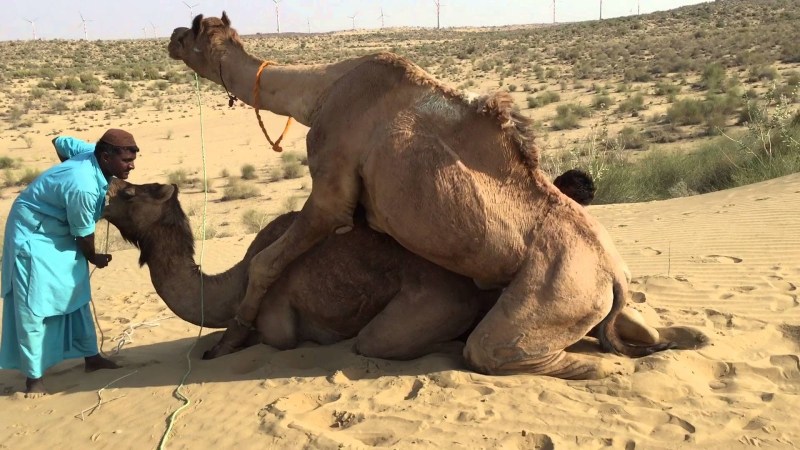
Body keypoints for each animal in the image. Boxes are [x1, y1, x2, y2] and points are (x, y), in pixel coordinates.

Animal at [168, 13, 675, 379]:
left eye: (192, 27)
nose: (171, 36)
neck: (320, 91)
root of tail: (615, 275)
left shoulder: (332, 185)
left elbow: (265, 262)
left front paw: (227, 343)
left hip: (562, 288)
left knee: (496, 350)